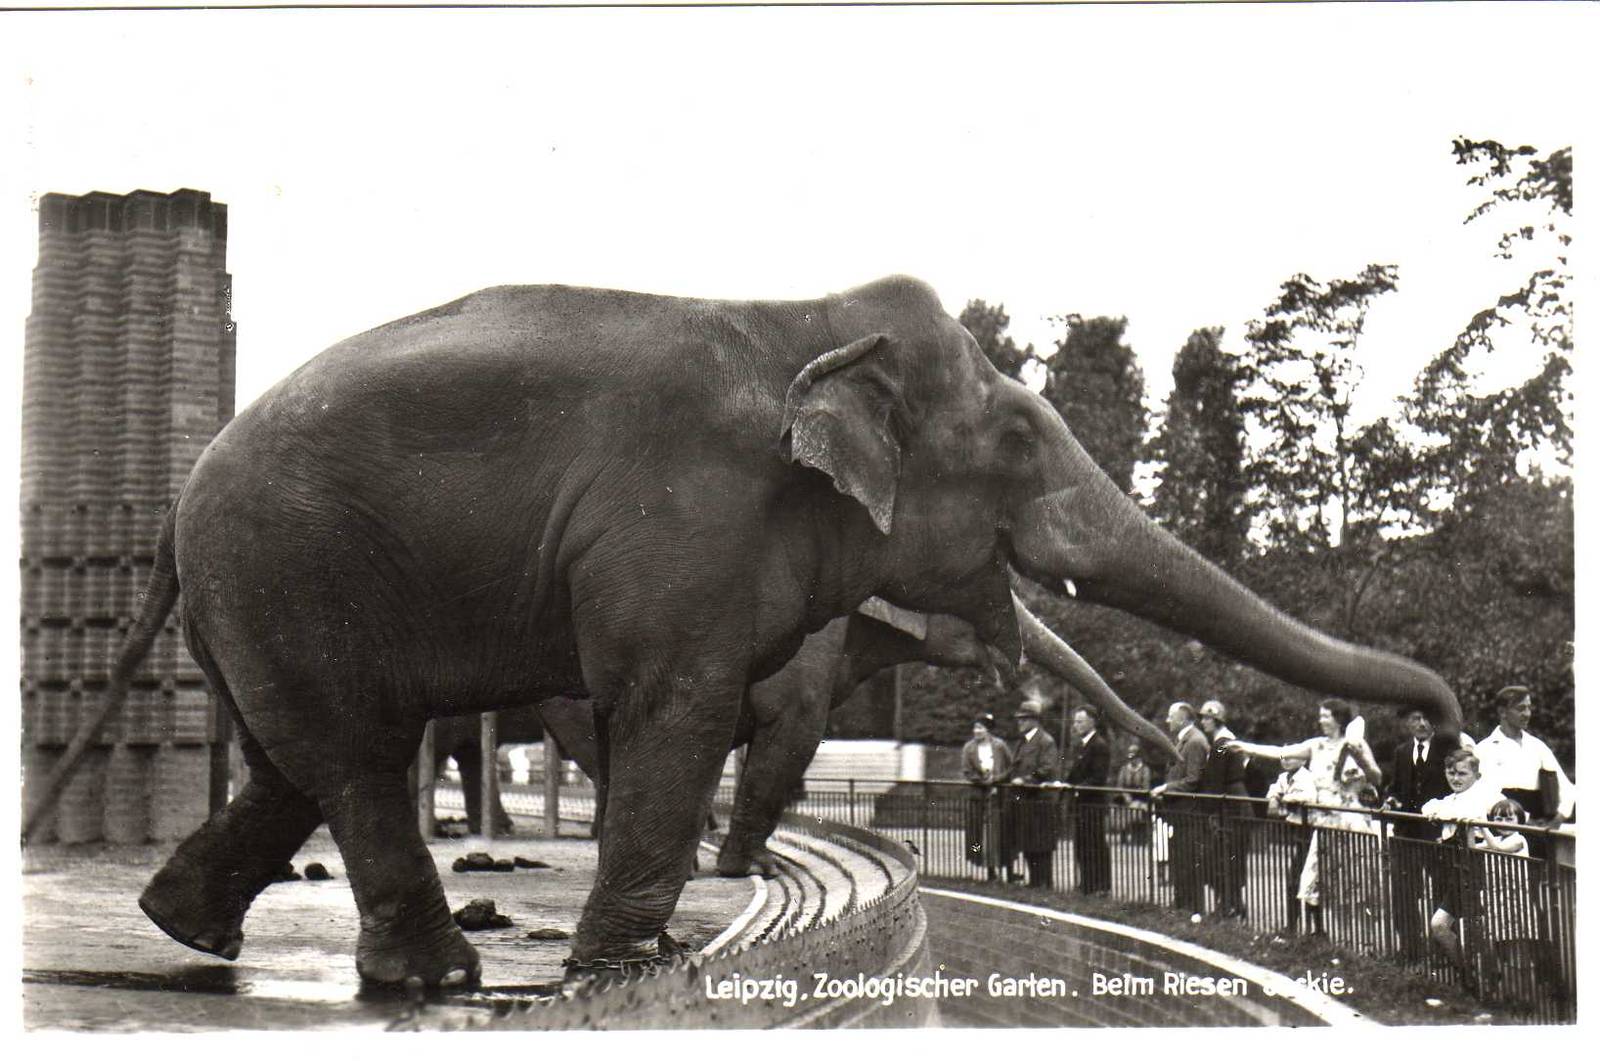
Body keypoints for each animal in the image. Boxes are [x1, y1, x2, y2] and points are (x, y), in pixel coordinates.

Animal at [62, 275, 1459, 990]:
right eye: (1017, 440)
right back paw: (444, 975)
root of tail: (180, 503)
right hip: (288, 567)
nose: (1436, 729)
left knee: (301, 761)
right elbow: (683, 704)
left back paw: (190, 930)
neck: (805, 322)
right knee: (351, 756)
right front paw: (639, 959)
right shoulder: (682, 528)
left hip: (270, 594)